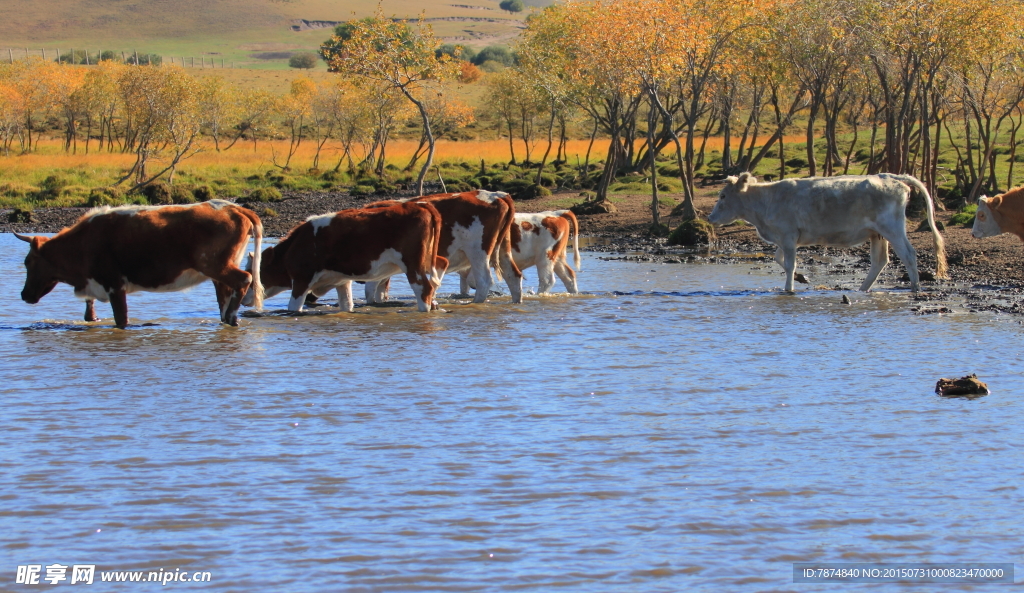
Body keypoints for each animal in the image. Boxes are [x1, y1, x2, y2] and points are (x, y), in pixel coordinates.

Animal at [16, 199, 264, 329]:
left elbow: (121, 319)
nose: (24, 294)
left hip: (215, 265)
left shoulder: (114, 284)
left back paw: (232, 317)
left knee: (244, 279)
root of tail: (230, 206)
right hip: (218, 271)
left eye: (28, 262)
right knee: (226, 294)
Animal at [243, 201, 448, 313]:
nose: (243, 299)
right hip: (428, 258)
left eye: (253, 274)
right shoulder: (341, 280)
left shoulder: (301, 280)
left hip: (413, 264)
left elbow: (293, 308)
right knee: (441, 265)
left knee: (424, 288)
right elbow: (346, 304)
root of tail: (419, 205)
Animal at [362, 191, 520, 303]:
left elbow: (370, 291)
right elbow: (380, 292)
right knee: (513, 275)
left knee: (484, 281)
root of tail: (497, 195)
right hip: (502, 250)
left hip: (478, 251)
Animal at [708, 172, 946, 292]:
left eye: (723, 196)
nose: (710, 218)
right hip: (877, 233)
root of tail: (889, 177)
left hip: (892, 228)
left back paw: (915, 287)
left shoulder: (788, 235)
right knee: (880, 261)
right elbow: (778, 259)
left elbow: (788, 264)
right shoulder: (785, 238)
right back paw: (862, 289)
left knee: (908, 254)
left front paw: (789, 288)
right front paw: (801, 277)